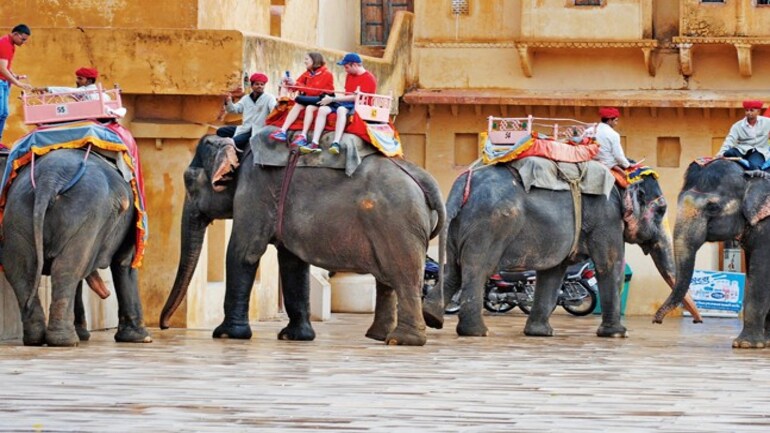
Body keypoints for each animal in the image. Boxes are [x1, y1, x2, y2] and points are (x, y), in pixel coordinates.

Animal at [1, 149, 151, 346]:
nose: (106, 293)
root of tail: (49, 180)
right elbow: (125, 263)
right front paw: (142, 338)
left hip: (18, 213)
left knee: (21, 269)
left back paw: (35, 339)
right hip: (87, 214)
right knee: (67, 268)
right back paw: (66, 341)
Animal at [160, 131, 445, 346]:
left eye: (189, 182)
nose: (164, 326)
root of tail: (426, 180)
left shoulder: (254, 190)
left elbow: (244, 253)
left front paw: (226, 334)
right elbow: (293, 263)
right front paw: (294, 337)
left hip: (398, 225)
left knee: (403, 276)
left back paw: (402, 341)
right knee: (387, 279)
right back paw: (379, 336)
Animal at [422, 160, 701, 338]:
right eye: (662, 211)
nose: (698, 321)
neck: (621, 177)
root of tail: (462, 184)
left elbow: (554, 271)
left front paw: (539, 334)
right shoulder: (606, 217)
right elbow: (609, 265)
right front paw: (617, 335)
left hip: (460, 225)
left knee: (454, 269)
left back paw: (432, 318)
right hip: (490, 225)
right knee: (476, 270)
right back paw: (476, 332)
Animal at [655, 160, 770, 348]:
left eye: (713, 207)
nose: (656, 321)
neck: (749, 178)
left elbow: (761, 273)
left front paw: (745, 344)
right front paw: (765, 343)